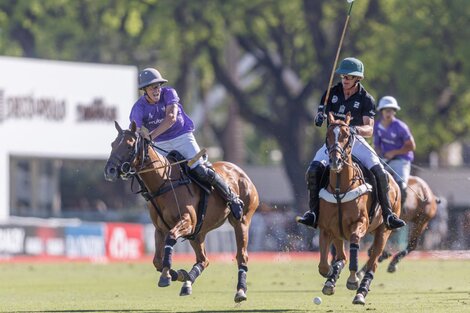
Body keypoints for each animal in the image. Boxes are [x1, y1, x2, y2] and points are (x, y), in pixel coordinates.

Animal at [103, 120, 258, 302]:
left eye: (129, 145)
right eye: (112, 144)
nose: (109, 171)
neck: (163, 182)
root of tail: (241, 172)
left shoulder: (186, 221)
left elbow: (170, 240)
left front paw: (166, 276)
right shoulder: (160, 229)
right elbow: (157, 260)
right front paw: (179, 274)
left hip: (241, 221)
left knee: (242, 255)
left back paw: (240, 291)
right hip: (198, 233)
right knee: (203, 260)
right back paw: (187, 283)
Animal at [316, 111, 400, 304]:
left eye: (347, 135)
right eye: (328, 135)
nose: (335, 161)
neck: (339, 188)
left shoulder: (360, 222)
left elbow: (354, 243)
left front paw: (353, 280)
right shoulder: (327, 228)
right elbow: (324, 264)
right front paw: (331, 275)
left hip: (383, 230)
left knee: (373, 263)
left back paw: (361, 292)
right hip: (340, 233)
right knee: (342, 256)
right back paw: (332, 279)